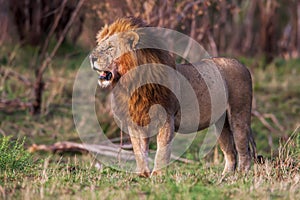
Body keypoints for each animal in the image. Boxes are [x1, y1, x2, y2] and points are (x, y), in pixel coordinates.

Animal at [90, 16, 256, 177]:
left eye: (110, 47)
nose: (91, 58)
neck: (131, 83)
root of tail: (243, 65)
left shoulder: (166, 119)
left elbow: (162, 150)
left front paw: (158, 175)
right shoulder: (136, 123)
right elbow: (139, 151)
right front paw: (142, 175)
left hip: (238, 115)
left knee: (243, 148)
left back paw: (241, 175)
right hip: (221, 124)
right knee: (230, 151)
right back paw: (225, 176)